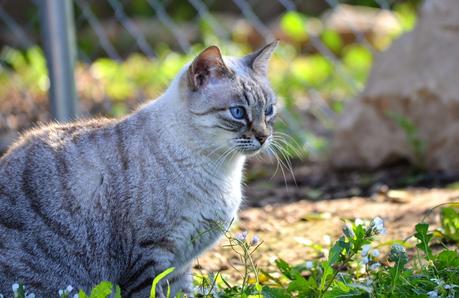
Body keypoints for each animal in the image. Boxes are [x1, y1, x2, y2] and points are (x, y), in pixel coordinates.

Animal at [0, 40, 280, 296]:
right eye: (237, 112)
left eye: (269, 110)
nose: (264, 136)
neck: (223, 169)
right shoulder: (151, 255)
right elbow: (154, 291)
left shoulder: (179, 264)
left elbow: (182, 292)